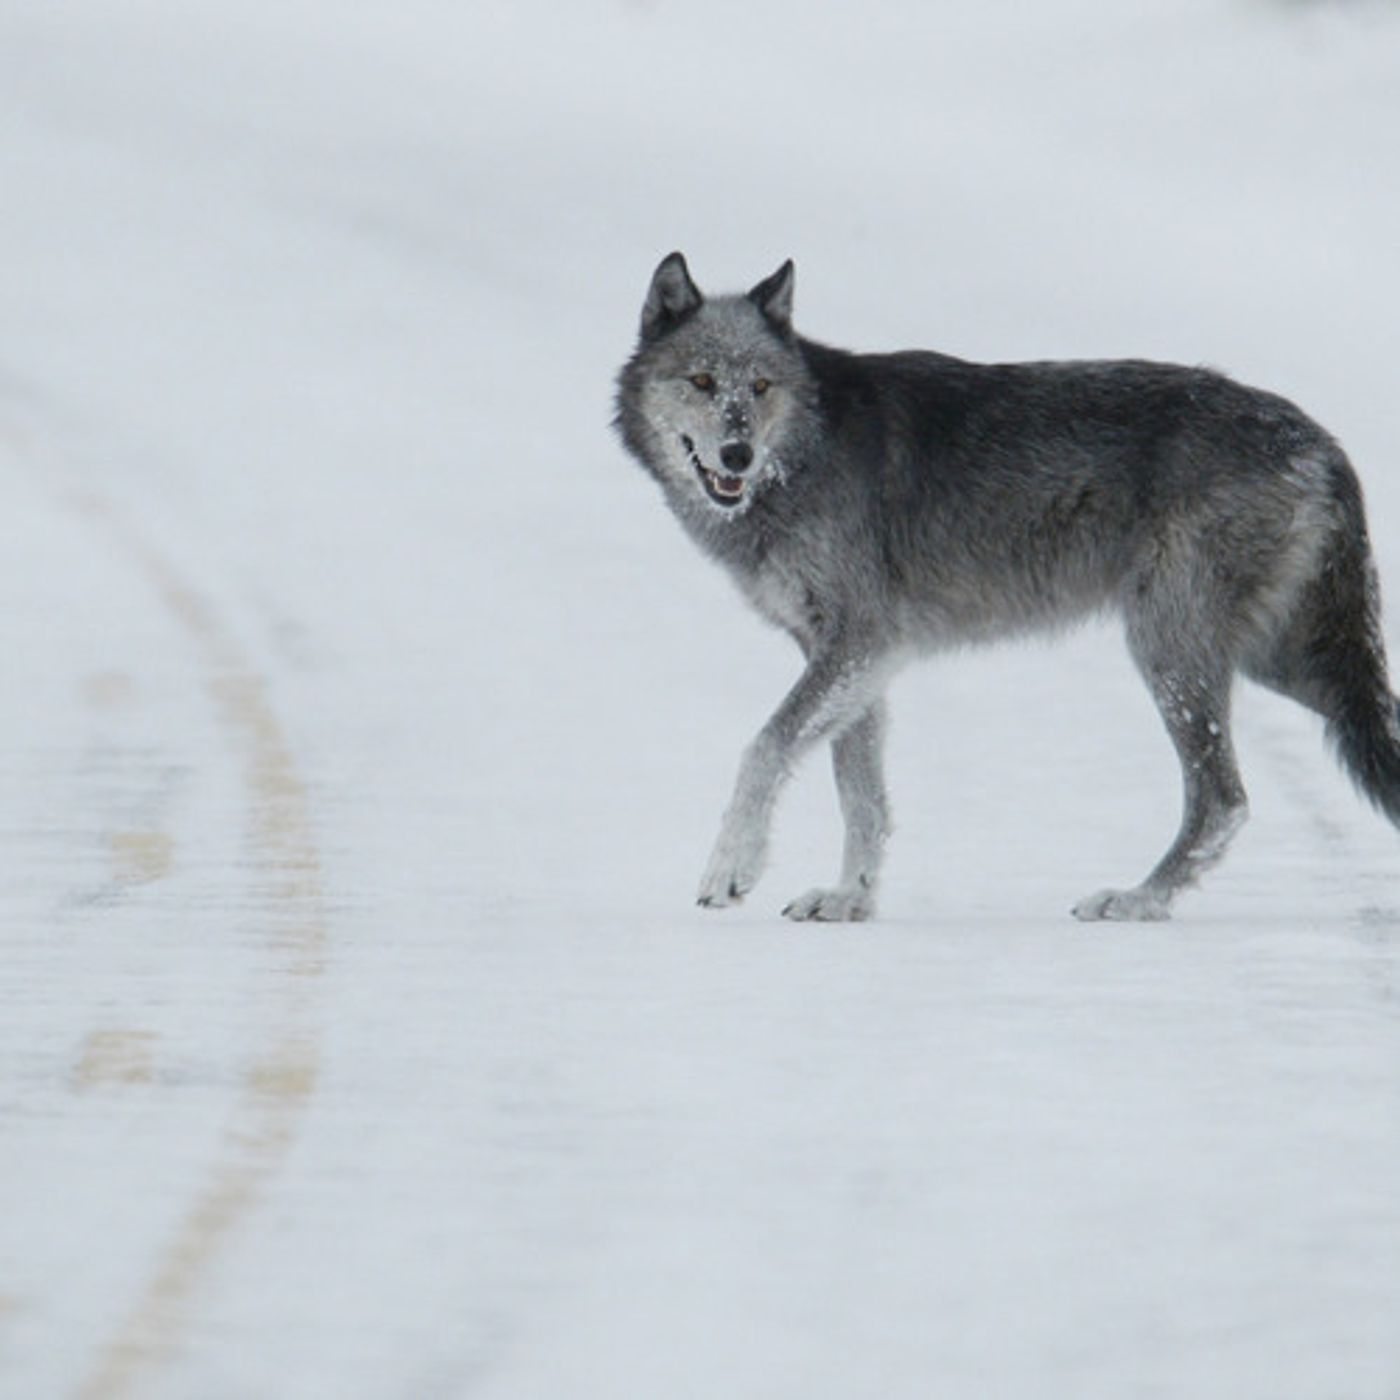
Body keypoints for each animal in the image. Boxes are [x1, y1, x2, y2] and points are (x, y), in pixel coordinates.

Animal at [613, 251, 1400, 921]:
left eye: (760, 387)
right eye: (702, 383)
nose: (737, 454)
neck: (804, 454)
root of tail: (1318, 439)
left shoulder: (861, 642)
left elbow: (764, 749)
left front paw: (730, 870)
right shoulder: (851, 658)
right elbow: (861, 796)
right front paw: (850, 899)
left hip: (1175, 652)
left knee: (1222, 801)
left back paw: (1136, 901)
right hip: (1283, 667)